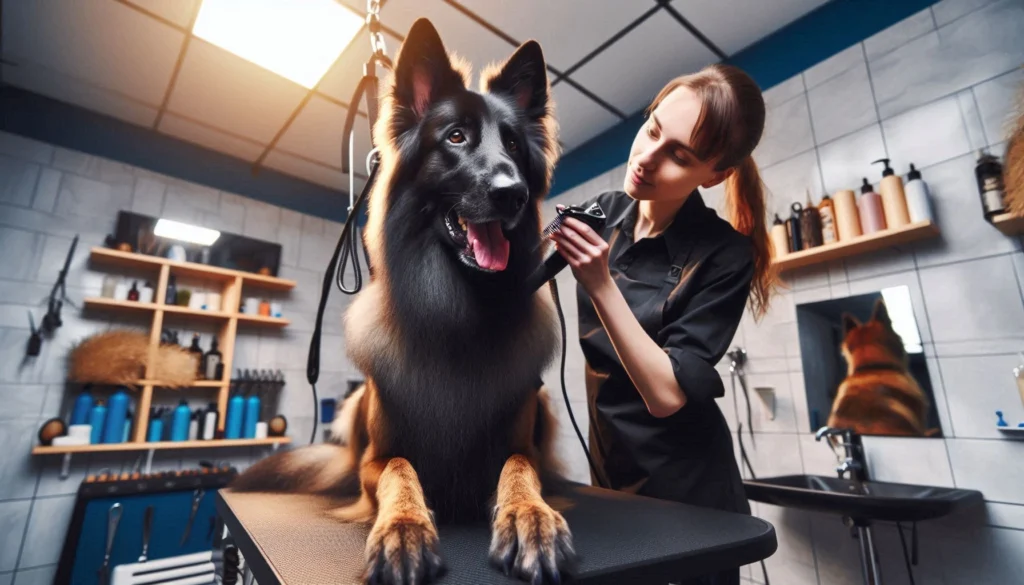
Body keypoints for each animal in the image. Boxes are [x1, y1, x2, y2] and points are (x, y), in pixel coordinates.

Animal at [228, 18, 577, 585]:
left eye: (513, 144)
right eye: (455, 136)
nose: (514, 193)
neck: (460, 311)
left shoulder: (522, 448)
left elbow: (520, 469)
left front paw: (531, 517)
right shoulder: (377, 458)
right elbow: (399, 469)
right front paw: (404, 526)